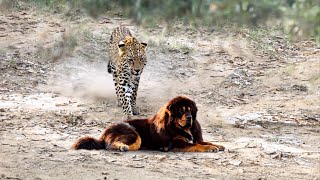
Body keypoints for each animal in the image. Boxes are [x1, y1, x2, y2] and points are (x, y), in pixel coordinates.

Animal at [72, 95, 225, 152]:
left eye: (190, 111)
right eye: (181, 111)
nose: (189, 117)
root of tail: (104, 133)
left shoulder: (196, 137)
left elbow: (204, 142)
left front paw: (217, 145)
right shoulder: (178, 143)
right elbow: (197, 145)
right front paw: (209, 148)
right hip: (133, 133)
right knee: (110, 145)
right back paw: (121, 147)